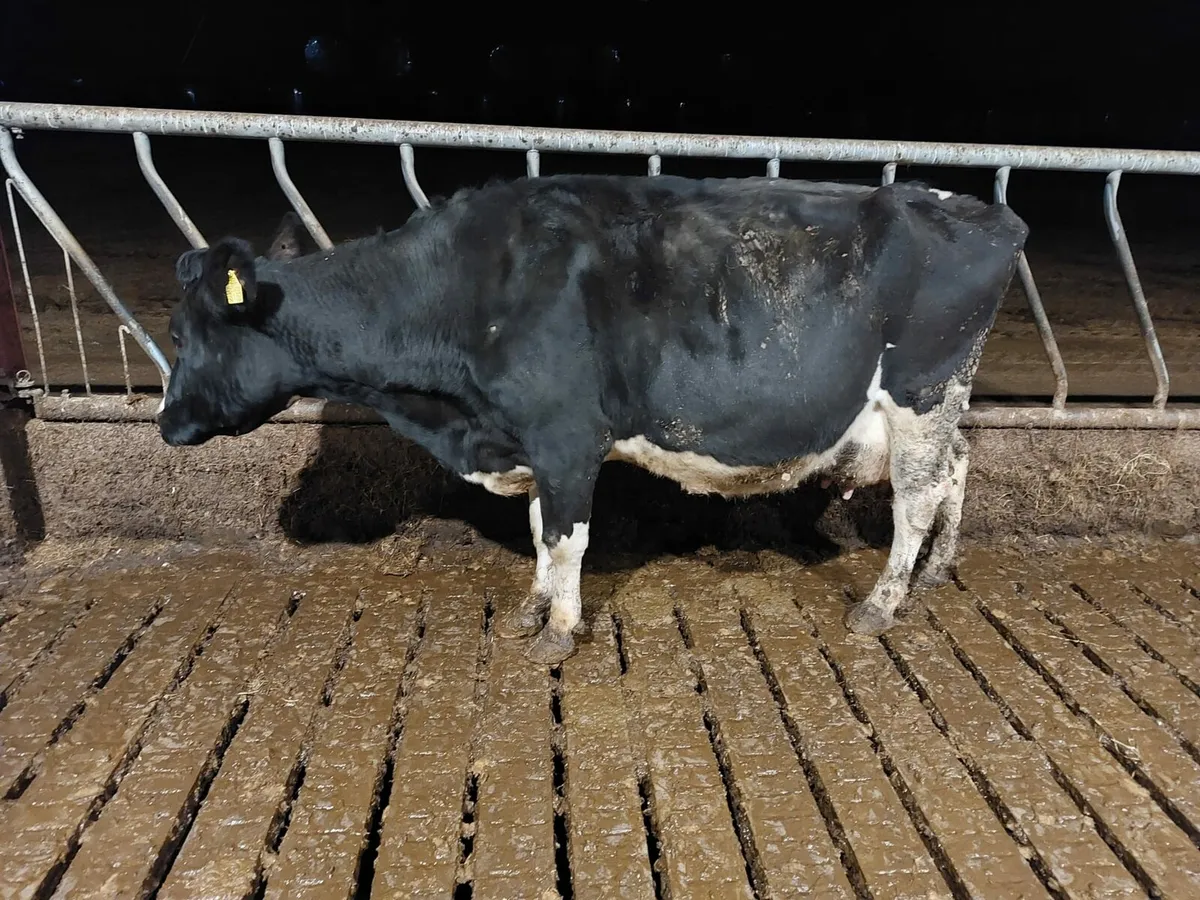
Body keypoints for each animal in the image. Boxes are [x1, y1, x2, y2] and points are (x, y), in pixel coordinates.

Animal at [158, 173, 1029, 666]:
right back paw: (937, 572)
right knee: (957, 470)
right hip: (934, 408)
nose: (166, 424)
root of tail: (984, 214)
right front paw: (531, 609)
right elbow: (539, 529)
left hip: (922, 390)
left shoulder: (568, 434)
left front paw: (559, 629)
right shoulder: (532, 440)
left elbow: (564, 535)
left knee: (917, 498)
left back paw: (881, 605)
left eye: (183, 332)